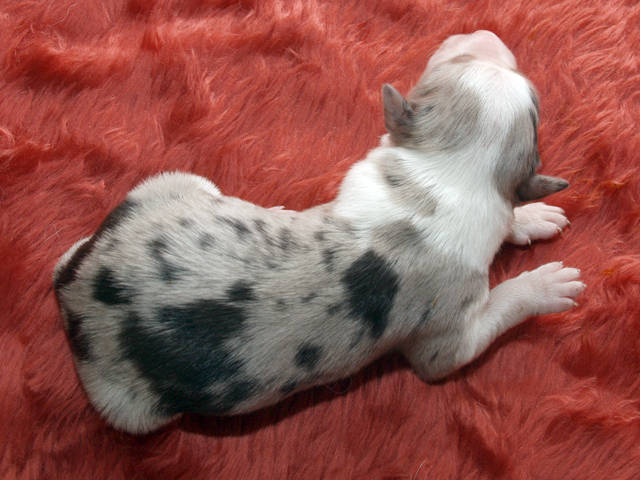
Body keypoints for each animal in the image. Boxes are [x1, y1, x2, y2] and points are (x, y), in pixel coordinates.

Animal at [53, 31, 585, 434]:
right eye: (459, 61)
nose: (487, 31)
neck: (449, 176)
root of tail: (73, 290)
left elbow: (510, 211)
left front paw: (531, 217)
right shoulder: (448, 342)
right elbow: (496, 310)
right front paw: (544, 284)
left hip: (161, 191)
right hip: (130, 403)